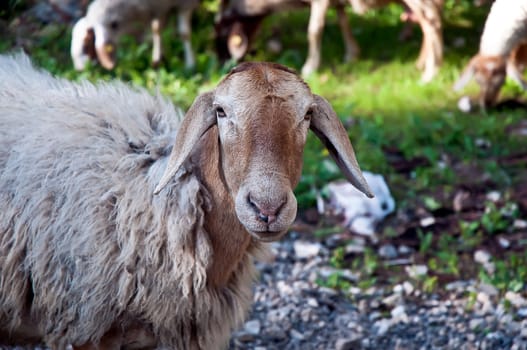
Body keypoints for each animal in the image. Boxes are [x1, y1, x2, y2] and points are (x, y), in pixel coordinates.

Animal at [71, 0, 199, 70]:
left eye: (85, 47)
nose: (79, 69)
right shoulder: (159, 9)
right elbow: (157, 29)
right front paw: (159, 59)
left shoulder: (184, 4)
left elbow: (184, 33)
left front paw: (190, 65)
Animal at [217, 0, 444, 81]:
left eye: (221, 31)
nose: (224, 65)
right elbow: (342, 19)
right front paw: (352, 54)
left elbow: (314, 30)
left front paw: (310, 67)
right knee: (426, 21)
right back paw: (422, 63)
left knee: (432, 20)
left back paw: (430, 72)